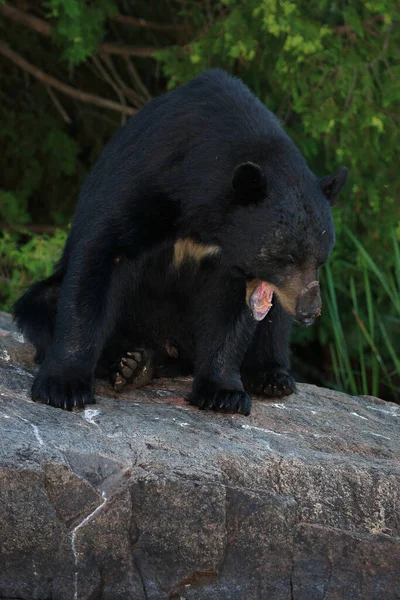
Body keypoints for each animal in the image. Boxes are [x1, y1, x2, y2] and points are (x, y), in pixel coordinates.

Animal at [14, 70, 346, 414]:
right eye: (285, 258)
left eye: (320, 260)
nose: (311, 311)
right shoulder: (143, 180)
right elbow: (99, 260)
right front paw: (63, 386)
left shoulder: (234, 261)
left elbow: (231, 312)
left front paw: (223, 392)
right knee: (42, 302)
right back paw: (130, 364)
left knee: (274, 321)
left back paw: (271, 376)